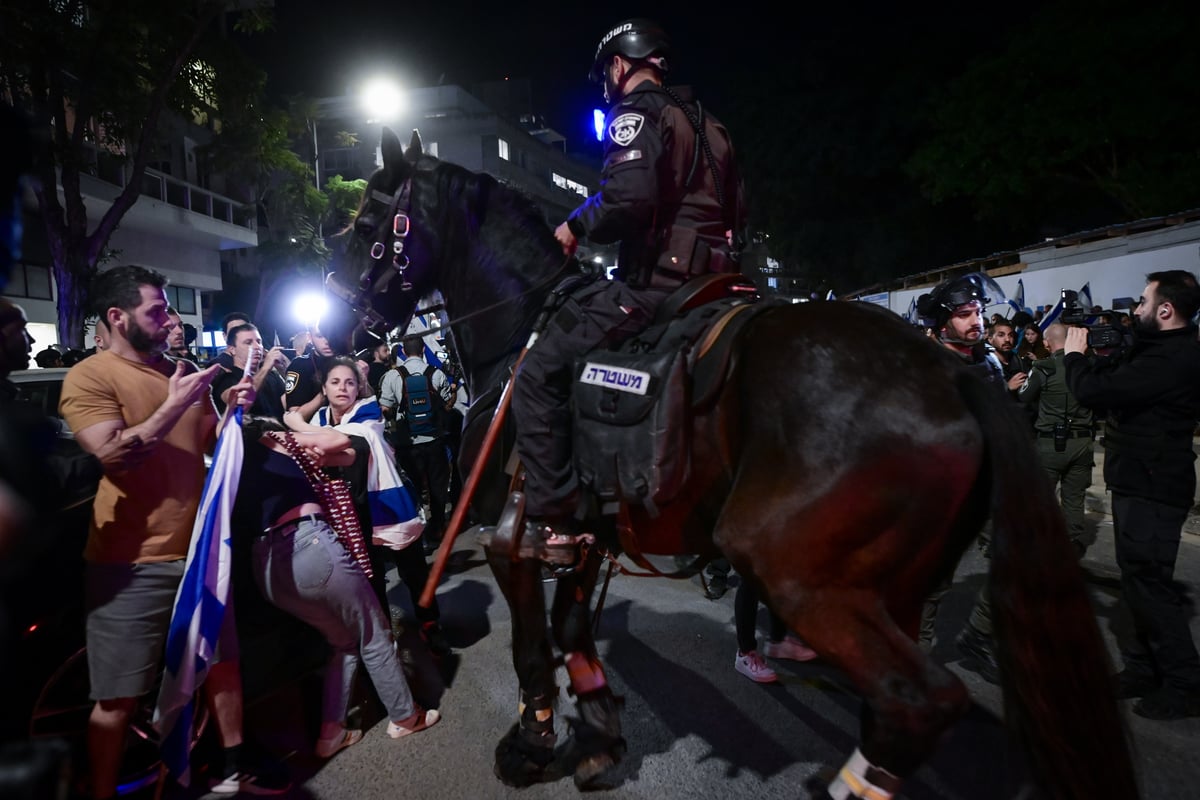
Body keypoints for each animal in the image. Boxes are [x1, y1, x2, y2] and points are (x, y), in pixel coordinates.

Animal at [316, 128, 1132, 796]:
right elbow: (574, 630)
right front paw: (600, 738)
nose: (331, 334)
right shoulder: (584, 537)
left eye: (367, 227)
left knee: (916, 702)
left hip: (791, 567)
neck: (524, 327)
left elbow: (530, 650)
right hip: (893, 585)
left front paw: (533, 741)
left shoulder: (516, 536)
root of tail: (954, 373)